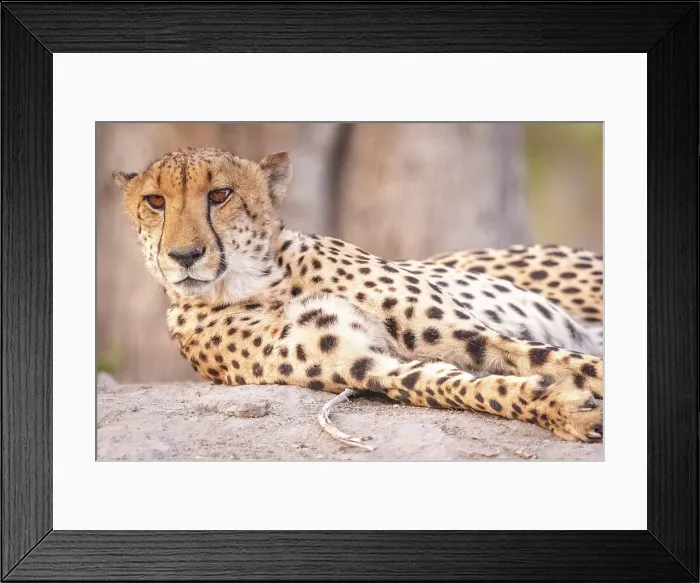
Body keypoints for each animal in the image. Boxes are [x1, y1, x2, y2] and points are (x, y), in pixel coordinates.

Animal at [113, 147, 604, 443]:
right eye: (155, 201)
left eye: (220, 194)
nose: (184, 255)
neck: (261, 282)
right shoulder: (372, 367)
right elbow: (467, 387)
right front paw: (563, 408)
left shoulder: (475, 335)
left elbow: (570, 362)